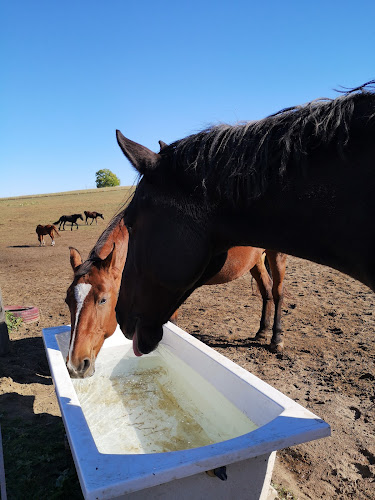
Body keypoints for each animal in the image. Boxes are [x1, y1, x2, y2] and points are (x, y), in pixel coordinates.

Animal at [115, 81, 375, 356]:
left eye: (129, 223)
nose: (118, 314)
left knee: (278, 292)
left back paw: (276, 337)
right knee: (266, 290)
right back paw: (262, 331)